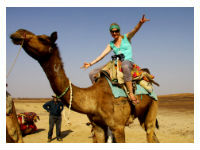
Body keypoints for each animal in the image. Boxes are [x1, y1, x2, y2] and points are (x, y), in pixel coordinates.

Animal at [10, 29, 159, 143]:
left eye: (42, 38)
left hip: (153, 106)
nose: (18, 33)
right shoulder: (98, 126)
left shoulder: (118, 126)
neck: (94, 98)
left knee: (150, 131)